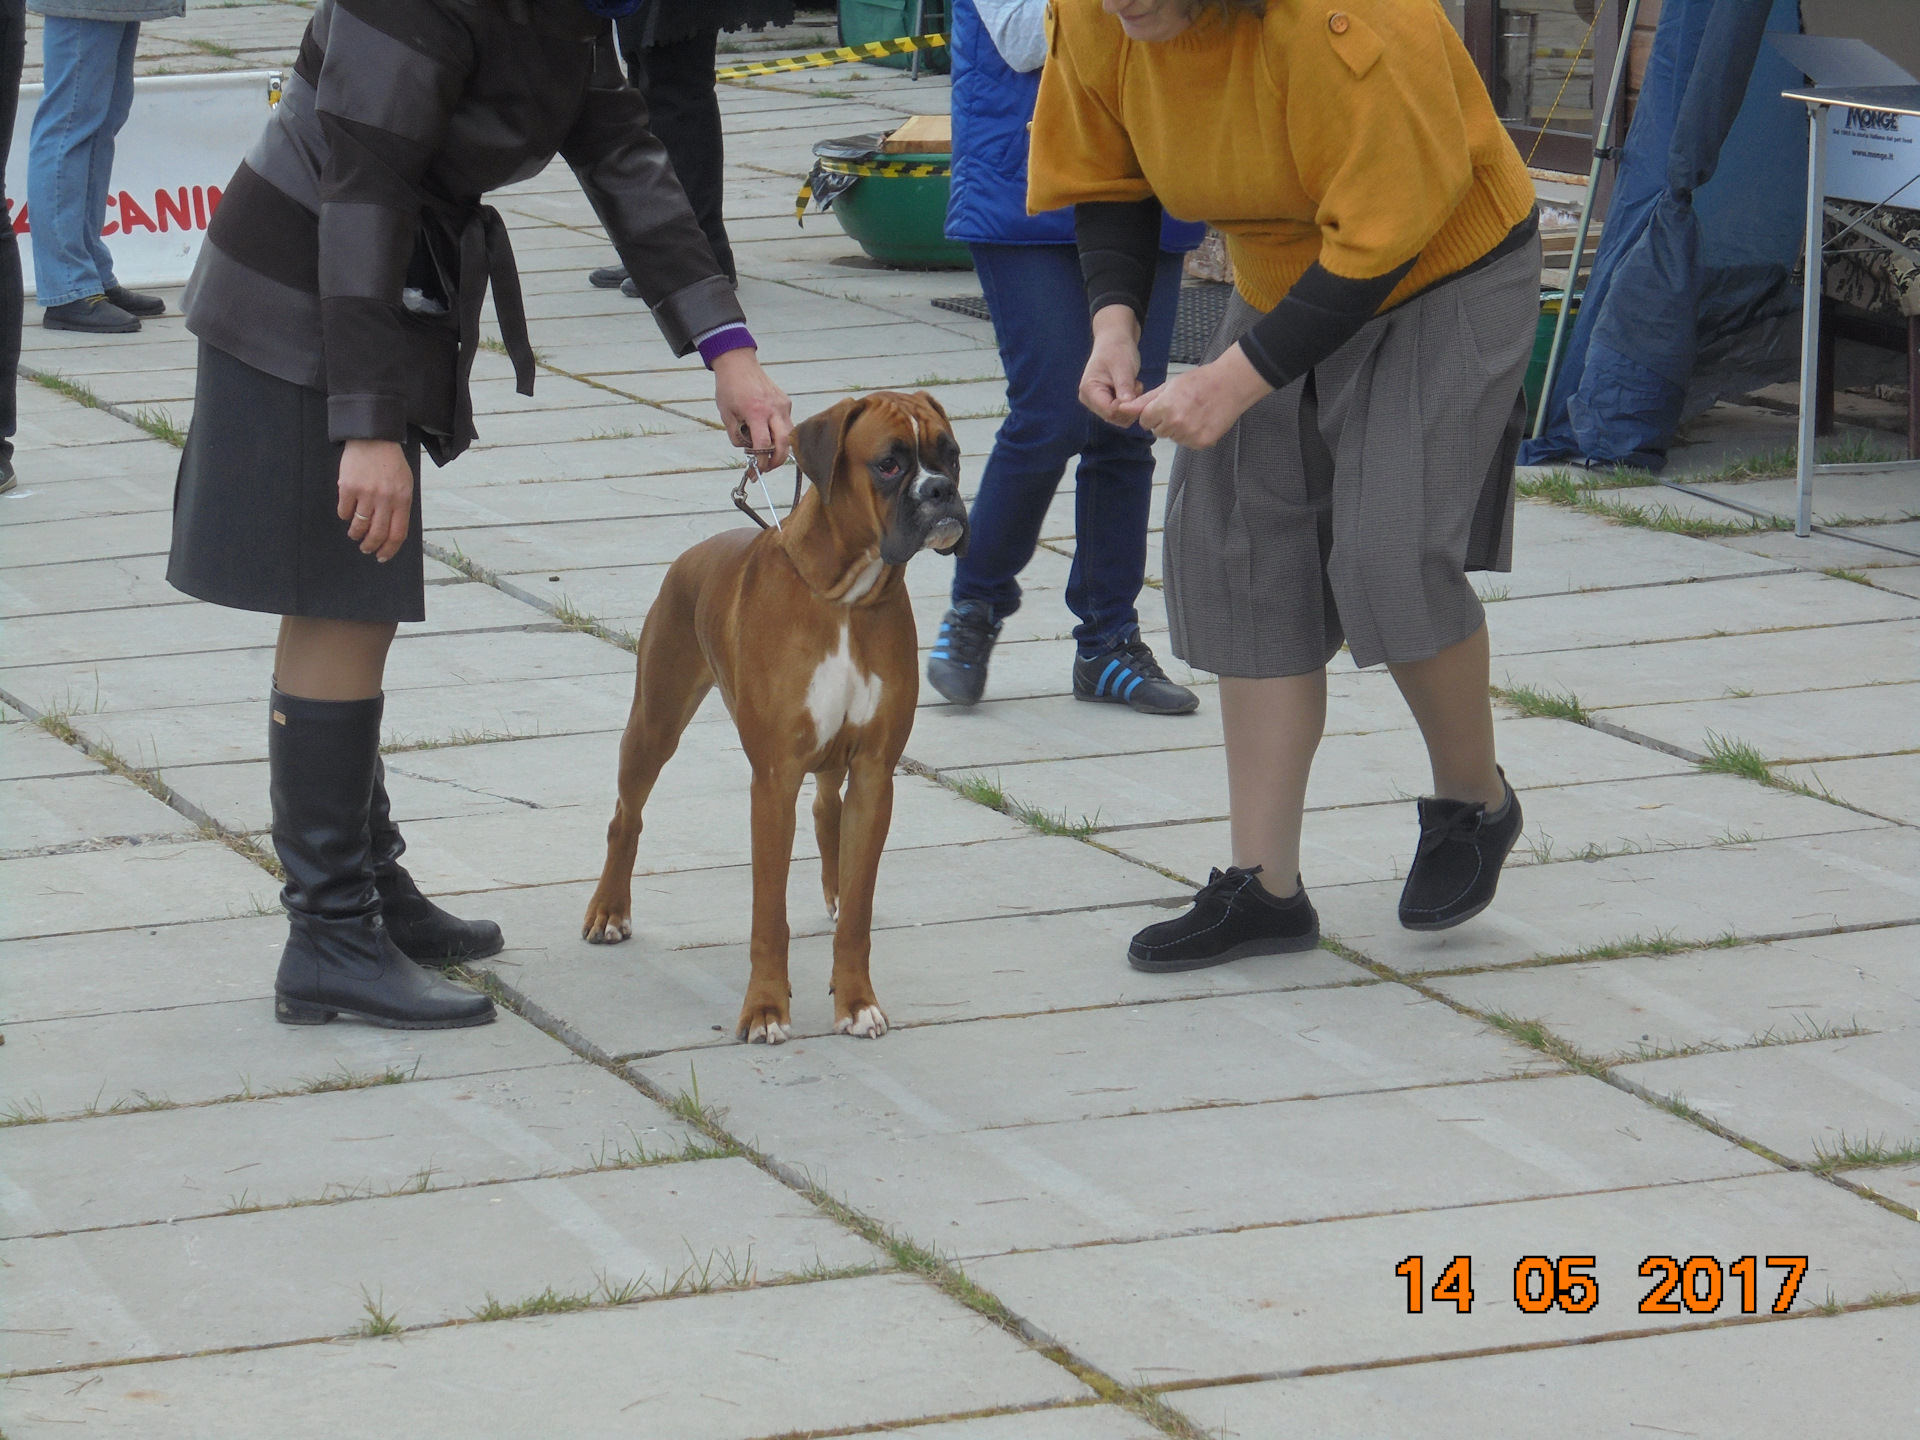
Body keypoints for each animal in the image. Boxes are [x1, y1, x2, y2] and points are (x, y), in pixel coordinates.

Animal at [576, 395, 967, 1052]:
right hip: (654, 725)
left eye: (952, 455)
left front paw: (857, 1001)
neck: (846, 596)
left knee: (827, 810)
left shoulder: (874, 774)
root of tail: (696, 552)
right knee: (625, 817)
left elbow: (859, 912)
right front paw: (764, 1009)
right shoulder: (774, 779)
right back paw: (609, 910)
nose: (941, 491)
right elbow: (769, 914)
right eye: (889, 464)